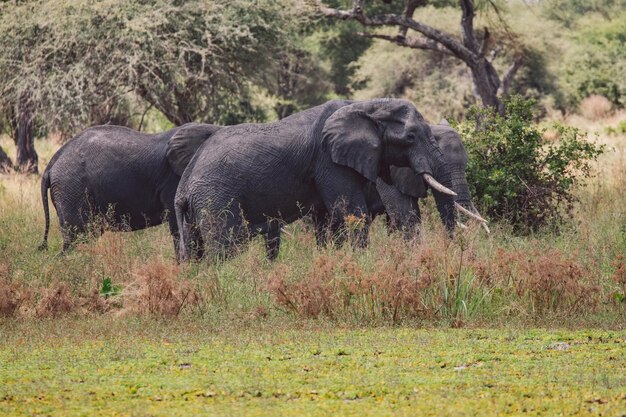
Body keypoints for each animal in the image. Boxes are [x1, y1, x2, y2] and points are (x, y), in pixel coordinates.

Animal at [173, 97, 456, 260]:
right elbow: (351, 213)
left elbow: (328, 220)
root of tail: (183, 187)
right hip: (216, 196)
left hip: (198, 206)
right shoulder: (329, 160)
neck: (368, 106)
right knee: (227, 243)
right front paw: (362, 262)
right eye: (410, 137)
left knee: (196, 247)